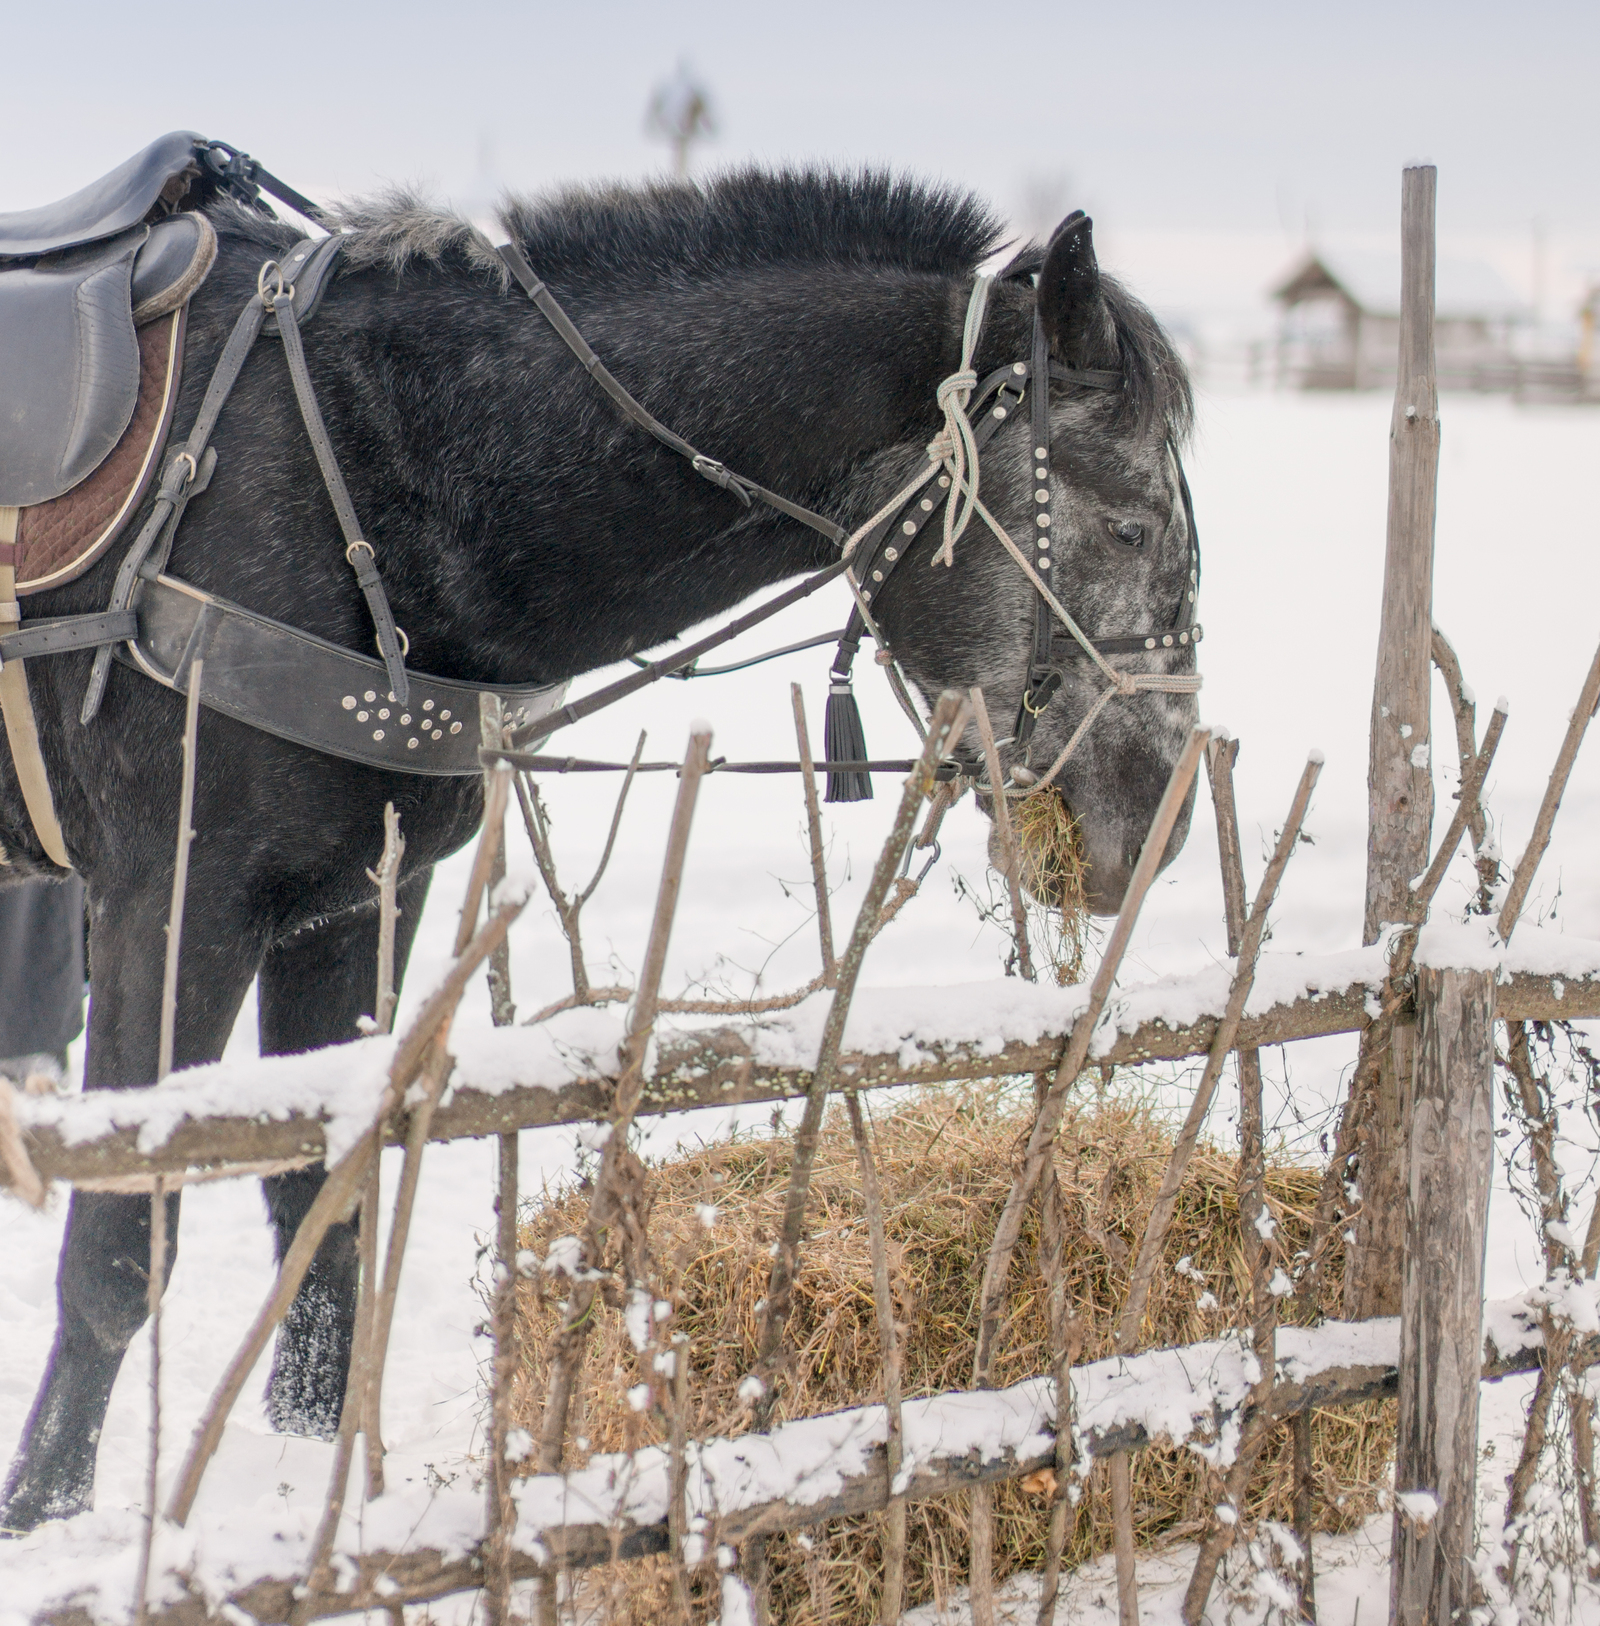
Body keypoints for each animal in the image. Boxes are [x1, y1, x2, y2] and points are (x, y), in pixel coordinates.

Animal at [0, 158, 1196, 1528]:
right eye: (1127, 526)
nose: (1154, 820)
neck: (365, 463)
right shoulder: (172, 904)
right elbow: (116, 1250)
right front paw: (43, 1513)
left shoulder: (356, 907)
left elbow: (326, 1215)